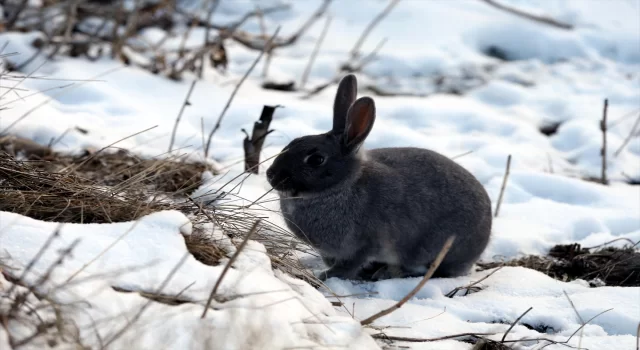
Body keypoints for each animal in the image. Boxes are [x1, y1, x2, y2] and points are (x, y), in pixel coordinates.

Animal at [264, 74, 490, 282]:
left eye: (316, 159)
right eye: (293, 142)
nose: (270, 175)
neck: (342, 186)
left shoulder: (364, 243)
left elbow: (349, 264)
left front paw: (328, 276)